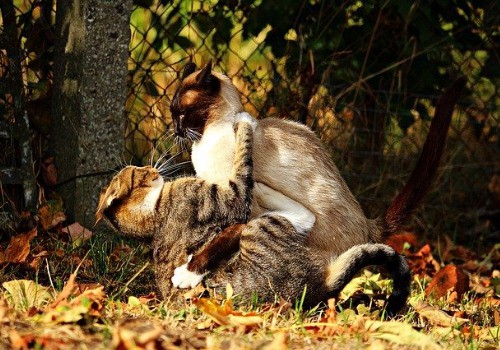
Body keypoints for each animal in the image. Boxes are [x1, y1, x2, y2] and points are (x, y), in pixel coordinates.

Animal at [96, 119, 410, 314]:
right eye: (138, 172)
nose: (151, 168)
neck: (154, 215)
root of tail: (317, 286)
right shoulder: (230, 199)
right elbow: (242, 163)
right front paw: (243, 125)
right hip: (261, 228)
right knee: (300, 214)